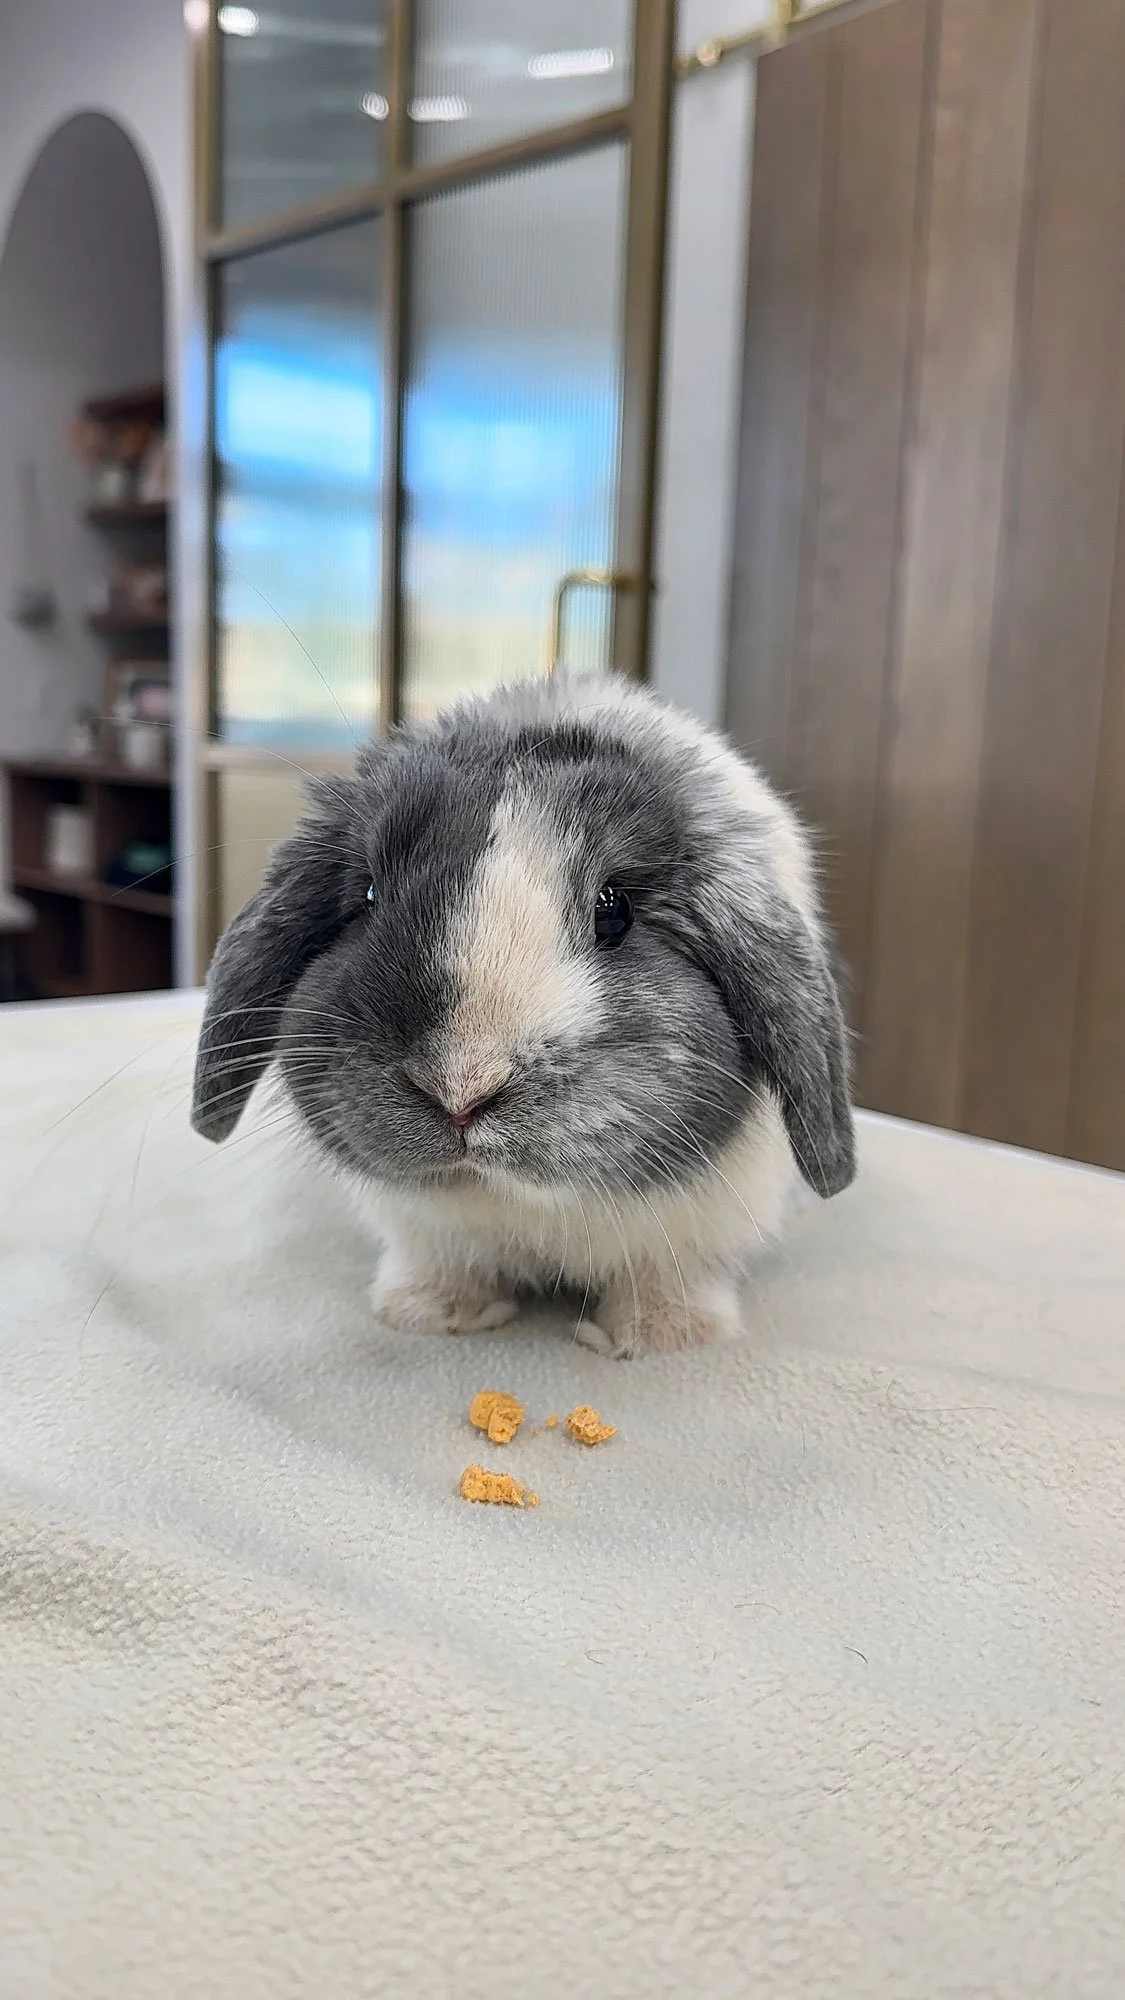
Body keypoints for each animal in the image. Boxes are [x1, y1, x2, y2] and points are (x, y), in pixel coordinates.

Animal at [191, 673, 855, 1358]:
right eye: (370, 895)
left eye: (615, 910)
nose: (461, 1089)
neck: (526, 1205)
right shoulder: (426, 1232)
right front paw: (430, 1314)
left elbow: (668, 1276)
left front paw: (663, 1337)